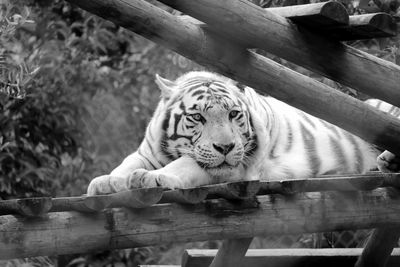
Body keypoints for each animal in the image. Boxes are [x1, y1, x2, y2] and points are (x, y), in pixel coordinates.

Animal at [86, 72, 396, 196]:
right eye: (197, 117)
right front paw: (105, 182)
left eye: (233, 114)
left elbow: (186, 165)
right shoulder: (146, 152)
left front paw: (151, 178)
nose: (225, 147)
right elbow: (125, 164)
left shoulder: (238, 167)